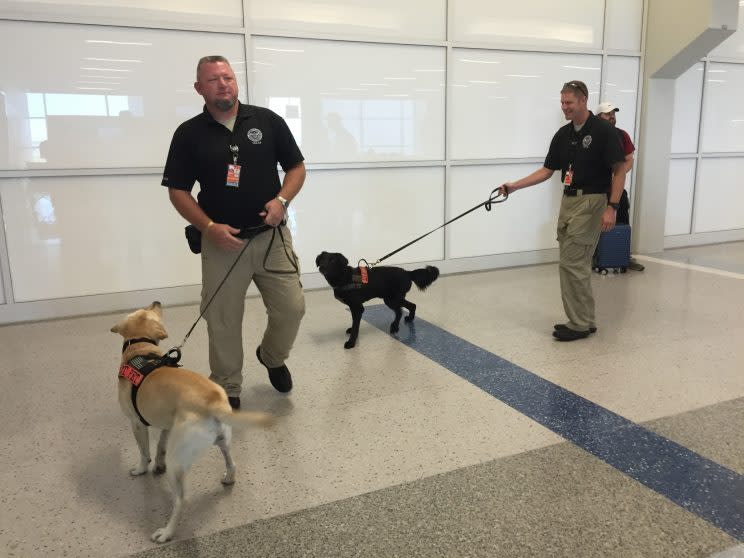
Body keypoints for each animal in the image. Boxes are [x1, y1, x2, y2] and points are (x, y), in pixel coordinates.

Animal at [110, 304, 274, 544]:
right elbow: (159, 448)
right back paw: (228, 478)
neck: (141, 348)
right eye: (149, 309)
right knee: (232, 464)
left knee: (181, 500)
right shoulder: (168, 427)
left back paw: (166, 532)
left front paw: (141, 469)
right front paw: (157, 465)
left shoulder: (136, 424)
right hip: (223, 441)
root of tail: (214, 402)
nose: (157, 301)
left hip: (177, 464)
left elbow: (144, 452)